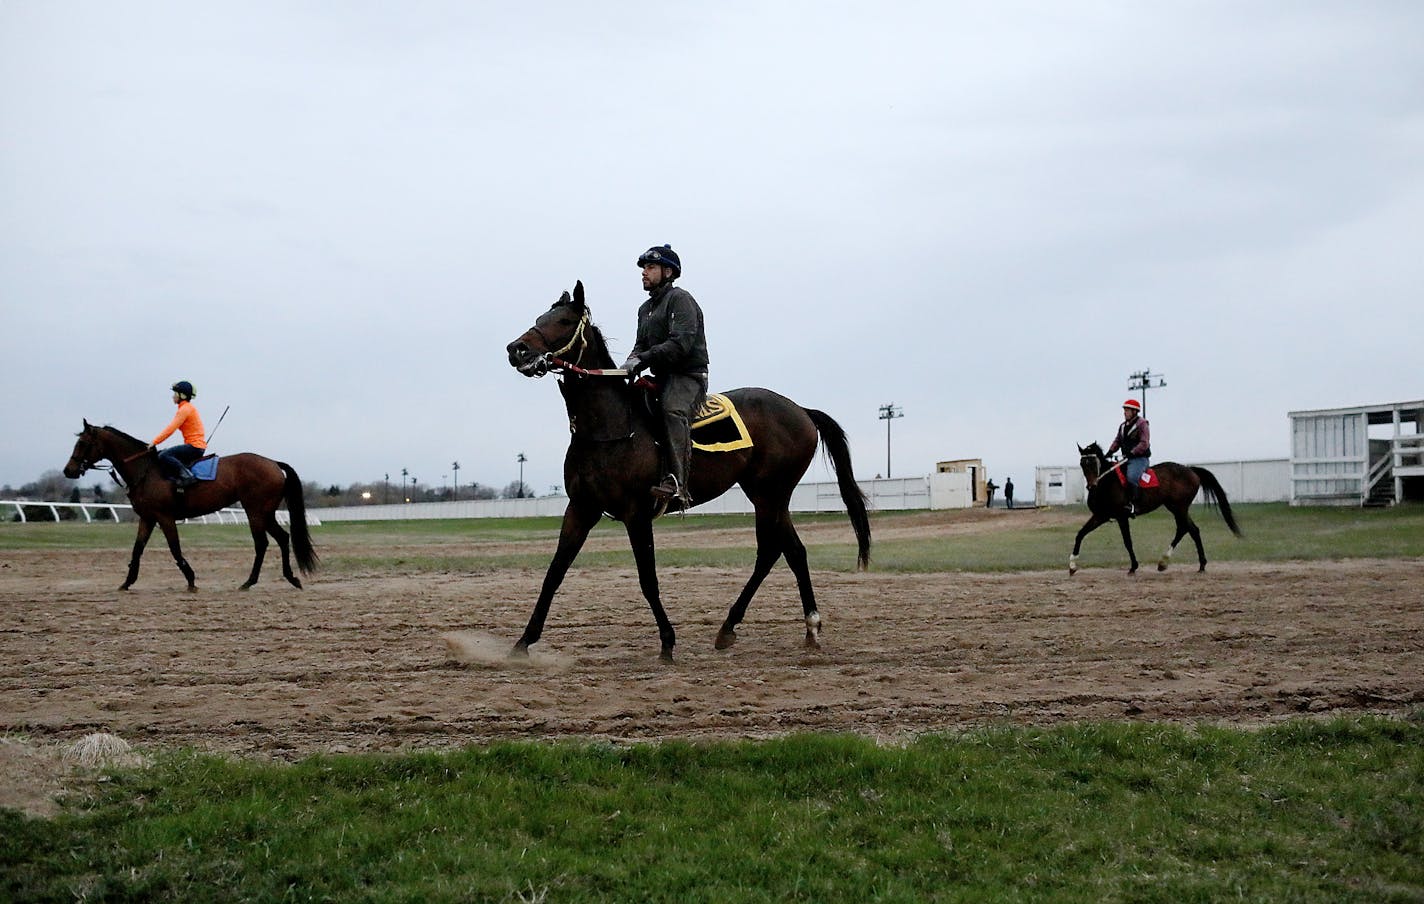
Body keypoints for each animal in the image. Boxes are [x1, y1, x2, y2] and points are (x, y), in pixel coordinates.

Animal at [63, 424, 317, 595]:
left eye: (82, 443)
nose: (69, 470)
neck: (146, 471)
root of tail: (273, 463)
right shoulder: (147, 518)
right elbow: (137, 550)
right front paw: (126, 582)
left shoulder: (164, 517)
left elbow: (175, 549)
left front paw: (191, 580)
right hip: (266, 513)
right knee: (282, 538)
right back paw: (290, 578)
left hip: (255, 511)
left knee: (262, 543)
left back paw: (250, 581)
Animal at [506, 279, 871, 660]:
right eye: (539, 318)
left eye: (563, 321)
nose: (517, 350)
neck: (611, 427)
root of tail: (801, 410)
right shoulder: (580, 508)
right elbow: (554, 573)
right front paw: (524, 641)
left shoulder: (637, 513)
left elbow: (648, 579)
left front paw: (667, 640)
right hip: (767, 495)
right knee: (792, 551)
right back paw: (797, 627)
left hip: (771, 494)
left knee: (770, 552)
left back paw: (737, 626)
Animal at [1070, 441, 1241, 575]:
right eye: (1082, 464)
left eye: (1095, 463)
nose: (1091, 485)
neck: (1107, 482)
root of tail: (1191, 470)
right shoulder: (1101, 516)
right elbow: (1080, 534)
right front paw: (1072, 565)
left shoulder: (1121, 517)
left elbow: (1127, 542)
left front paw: (1133, 567)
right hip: (1176, 507)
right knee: (1191, 530)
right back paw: (1196, 564)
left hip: (1179, 508)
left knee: (1185, 529)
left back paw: (1166, 562)